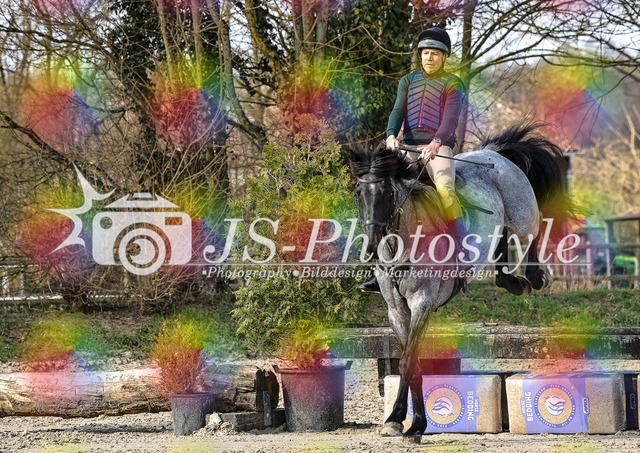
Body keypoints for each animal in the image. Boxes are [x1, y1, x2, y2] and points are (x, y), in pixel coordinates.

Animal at [348, 122, 574, 441]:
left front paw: (405, 422)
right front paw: (405, 422)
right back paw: (512, 282)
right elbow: (412, 362)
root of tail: (494, 153)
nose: (370, 247)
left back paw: (536, 276)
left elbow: (407, 360)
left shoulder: (422, 304)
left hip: (521, 211)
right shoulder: (397, 311)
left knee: (533, 227)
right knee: (501, 239)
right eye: (358, 192)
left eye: (387, 192)